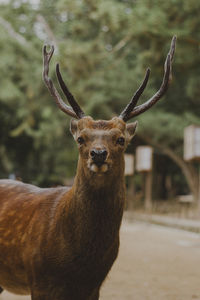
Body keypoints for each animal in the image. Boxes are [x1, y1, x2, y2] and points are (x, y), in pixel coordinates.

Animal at [0, 35, 176, 300]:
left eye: (120, 139)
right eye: (81, 139)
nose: (99, 153)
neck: (80, 260)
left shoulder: (94, 285)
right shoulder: (39, 280)